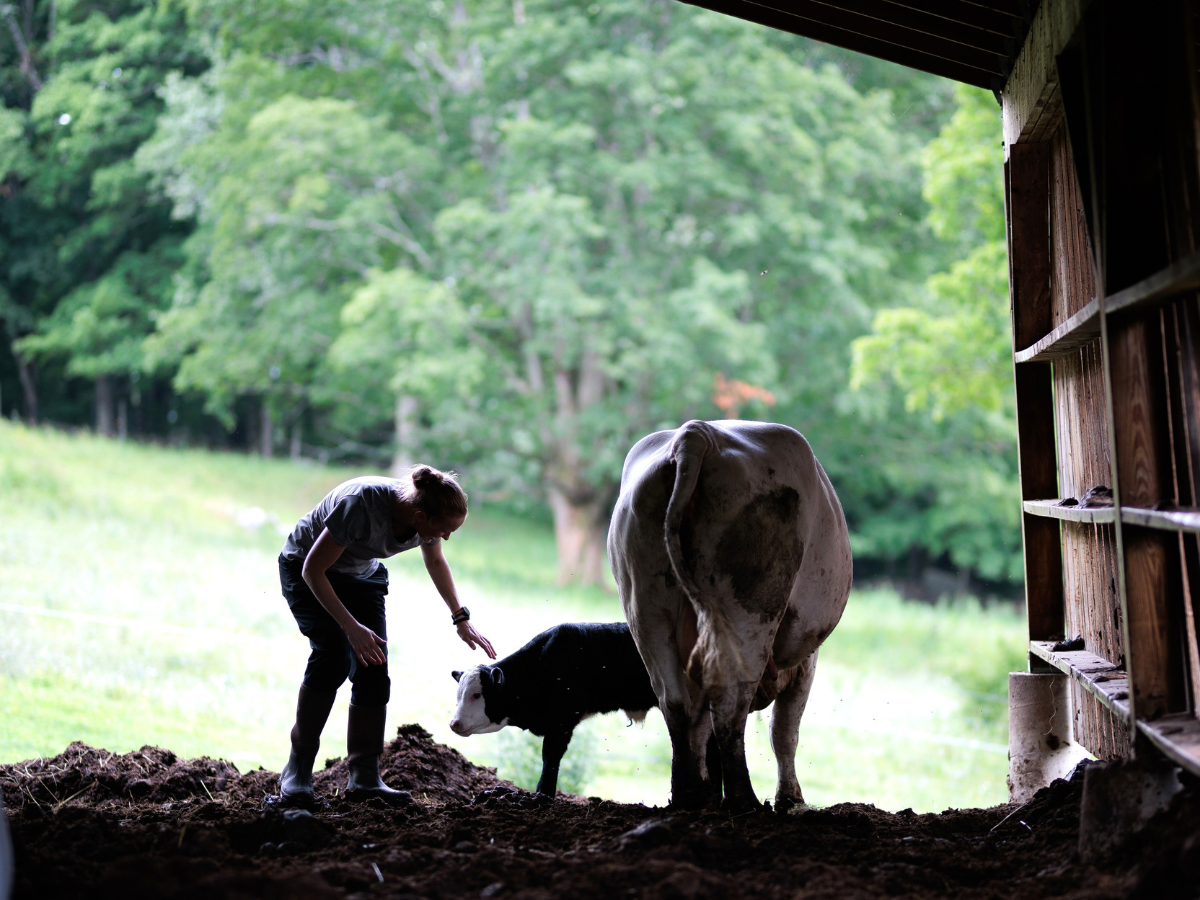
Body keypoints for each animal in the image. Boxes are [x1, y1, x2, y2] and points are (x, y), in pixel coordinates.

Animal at [449, 622, 659, 796]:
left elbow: (550, 755)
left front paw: (543, 794)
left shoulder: (562, 721)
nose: (454, 724)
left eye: (477, 694)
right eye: (458, 695)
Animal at [608, 419, 852, 813]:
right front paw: (790, 798)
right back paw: (744, 800)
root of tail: (696, 435)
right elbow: (785, 730)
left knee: (675, 701)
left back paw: (688, 795)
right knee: (728, 704)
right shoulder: (807, 660)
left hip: (645, 607)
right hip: (750, 609)